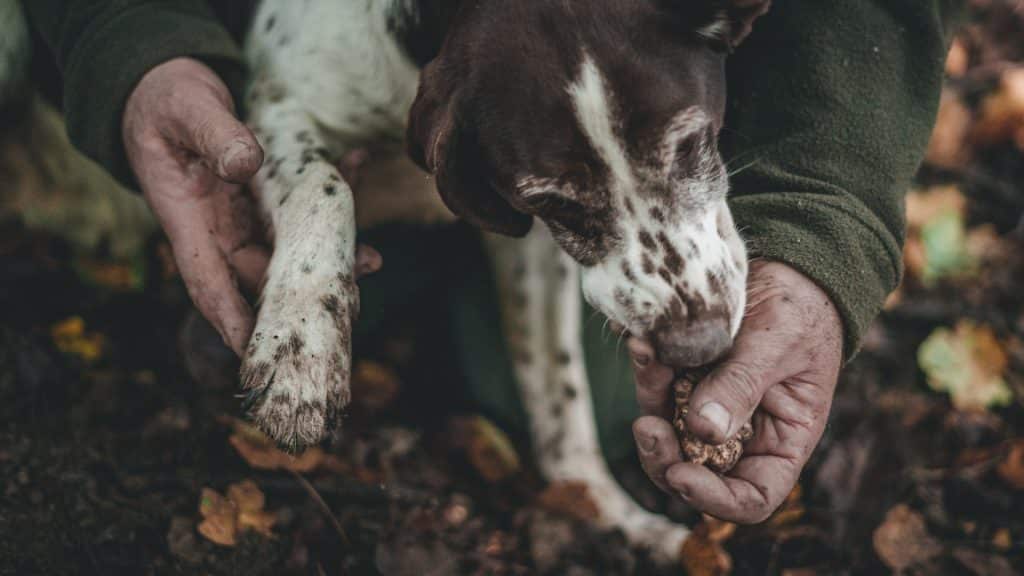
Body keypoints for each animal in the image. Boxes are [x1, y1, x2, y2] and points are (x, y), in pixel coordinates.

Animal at [241, 0, 770, 557]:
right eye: (553, 201)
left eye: (690, 144)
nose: (698, 346)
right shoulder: (277, 107)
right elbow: (323, 185)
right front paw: (300, 349)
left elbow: (559, 392)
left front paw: (607, 511)